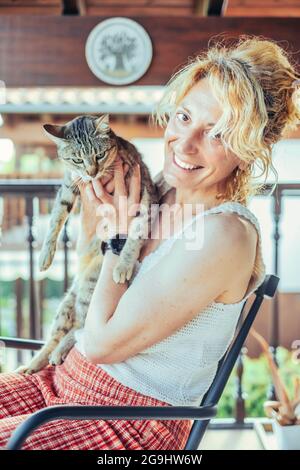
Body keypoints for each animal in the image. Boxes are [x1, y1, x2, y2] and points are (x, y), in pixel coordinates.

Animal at [17, 114, 171, 374]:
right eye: (77, 159)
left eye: (99, 155)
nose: (91, 172)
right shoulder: (69, 186)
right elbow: (56, 219)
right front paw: (45, 255)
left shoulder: (147, 200)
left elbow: (134, 236)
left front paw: (123, 265)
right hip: (67, 303)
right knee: (64, 332)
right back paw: (35, 363)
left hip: (90, 285)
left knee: (82, 330)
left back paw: (58, 353)